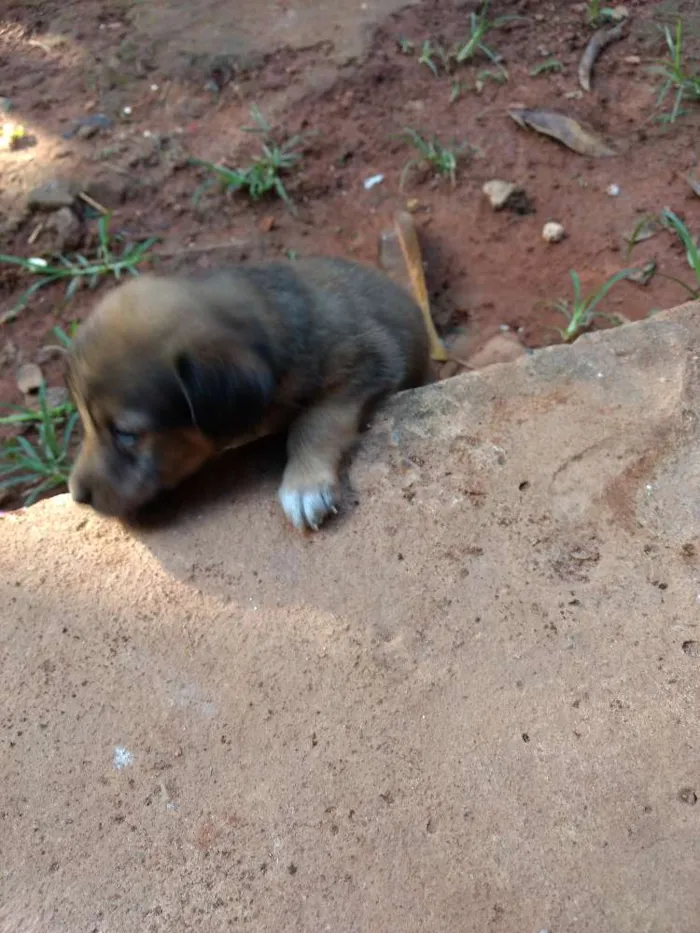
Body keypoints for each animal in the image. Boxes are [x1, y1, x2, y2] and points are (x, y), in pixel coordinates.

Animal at [68, 258, 432, 528]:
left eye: (126, 434)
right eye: (85, 420)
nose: (77, 496)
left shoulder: (368, 361)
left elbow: (315, 422)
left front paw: (305, 485)